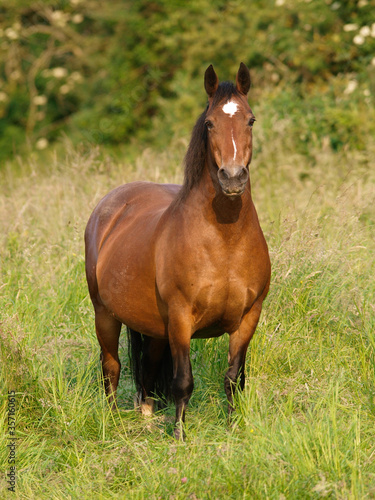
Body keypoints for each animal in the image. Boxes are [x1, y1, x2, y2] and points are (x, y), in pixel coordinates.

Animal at [86, 61, 270, 438]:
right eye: (210, 122)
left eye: (250, 119)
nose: (232, 178)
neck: (225, 242)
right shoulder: (182, 318)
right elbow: (183, 382)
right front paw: (180, 437)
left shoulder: (249, 318)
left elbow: (234, 379)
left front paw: (234, 429)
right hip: (105, 314)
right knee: (111, 367)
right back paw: (110, 422)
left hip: (154, 327)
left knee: (148, 365)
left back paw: (146, 414)